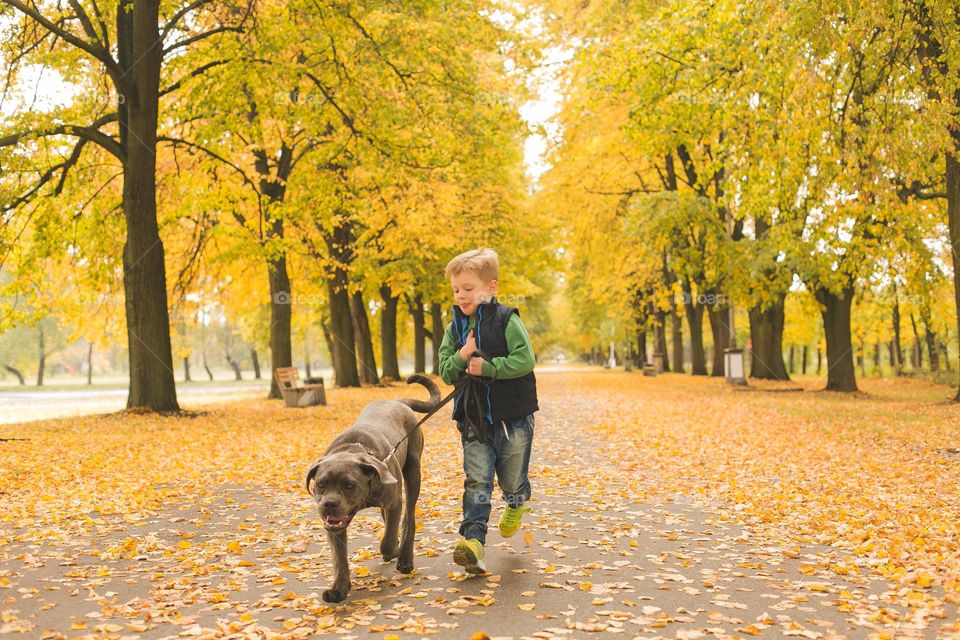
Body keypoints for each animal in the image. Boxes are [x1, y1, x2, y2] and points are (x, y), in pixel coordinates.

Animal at [304, 372, 438, 604]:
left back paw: (404, 557)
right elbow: (339, 558)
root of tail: (397, 402)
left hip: (413, 473)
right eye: (321, 485)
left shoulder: (394, 502)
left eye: (349, 485)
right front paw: (339, 588)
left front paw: (393, 549)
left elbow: (388, 539)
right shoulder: (334, 527)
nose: (329, 504)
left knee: (409, 518)